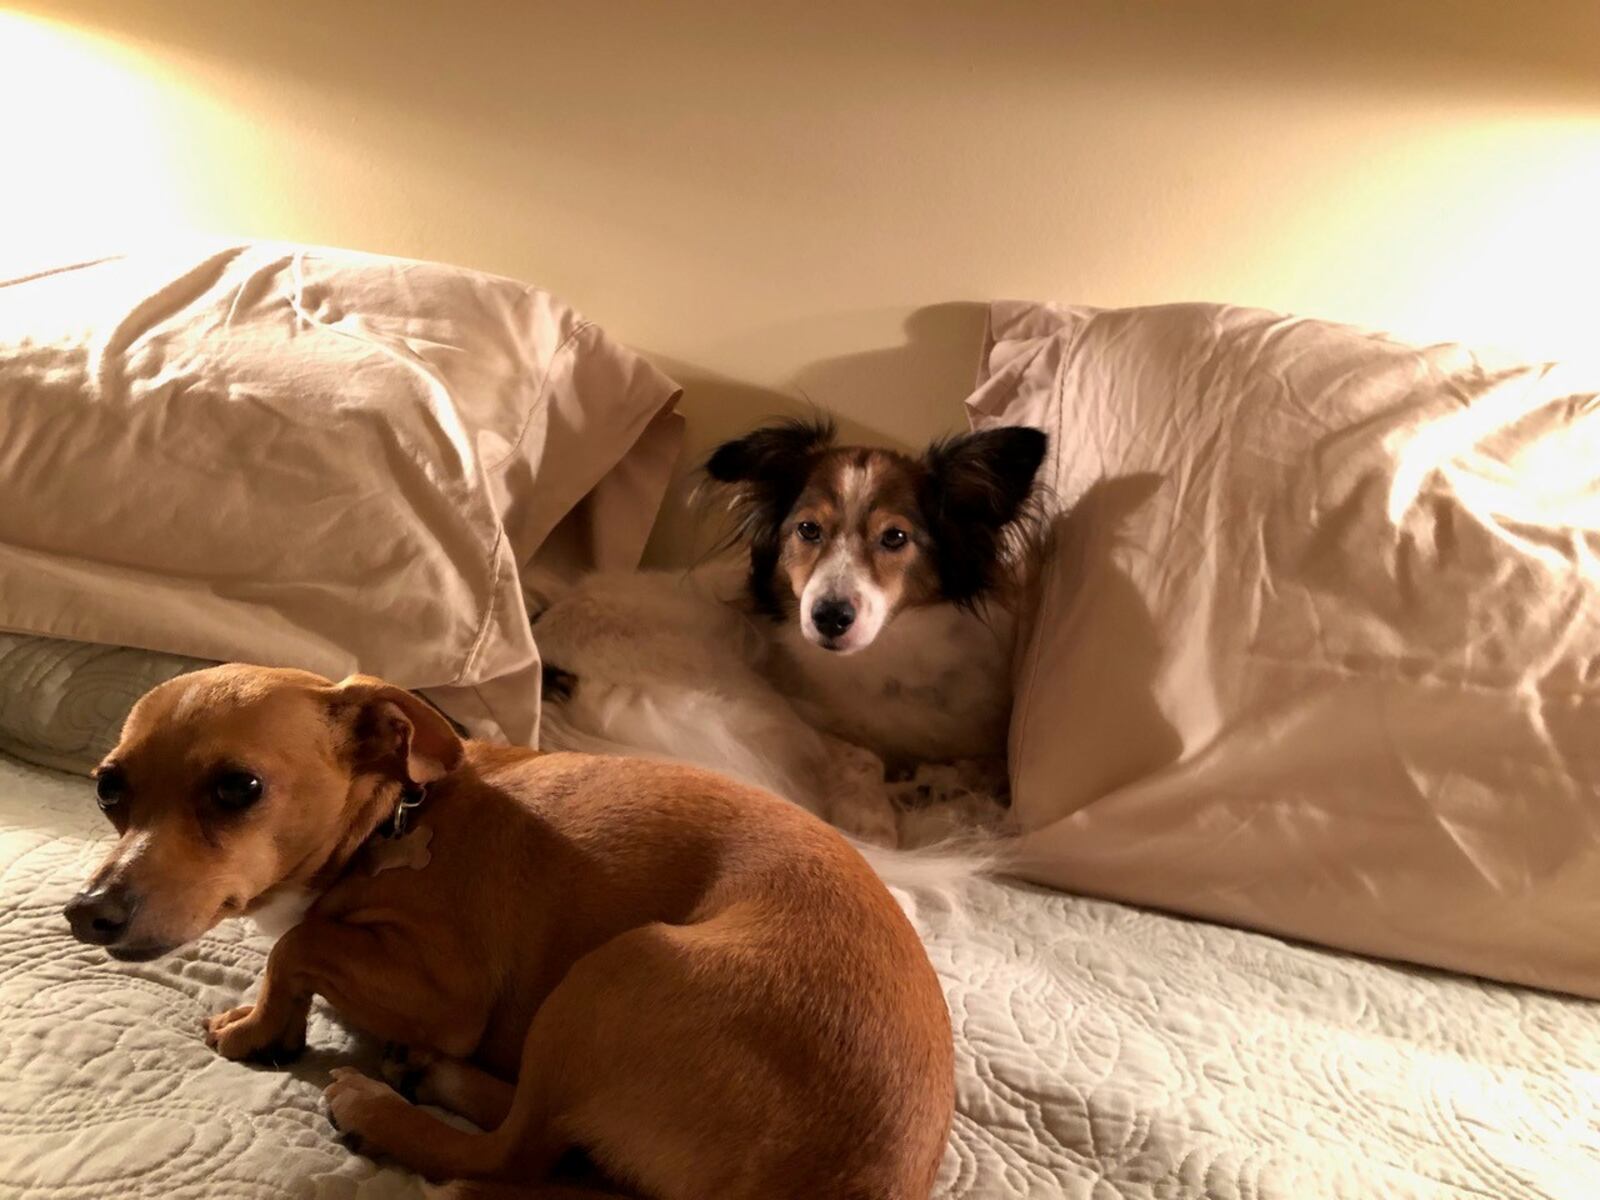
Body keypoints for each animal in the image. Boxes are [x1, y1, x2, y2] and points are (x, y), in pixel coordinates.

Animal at [62, 668, 953, 1200]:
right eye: (108, 789)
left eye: (237, 789)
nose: (87, 912)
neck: (396, 818)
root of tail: (856, 1181)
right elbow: (299, 946)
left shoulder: (448, 993)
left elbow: (296, 946)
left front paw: (259, 1028)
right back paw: (434, 1077)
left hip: (616, 974)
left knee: (512, 1156)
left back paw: (383, 1107)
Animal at [531, 419, 1043, 851]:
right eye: (808, 529)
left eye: (895, 537)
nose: (828, 616)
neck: (884, 656)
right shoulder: (807, 718)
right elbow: (861, 755)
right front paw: (871, 824)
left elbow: (992, 767)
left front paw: (941, 781)